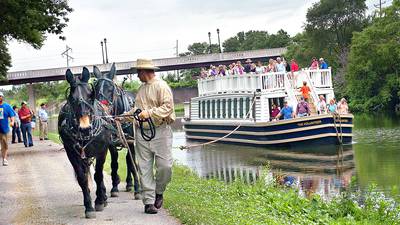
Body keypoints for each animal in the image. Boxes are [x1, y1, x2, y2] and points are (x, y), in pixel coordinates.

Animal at [57, 67, 111, 219]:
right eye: (72, 98)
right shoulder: (71, 152)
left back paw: (102, 197)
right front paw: (89, 206)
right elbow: (82, 178)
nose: (85, 128)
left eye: (90, 96)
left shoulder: (102, 150)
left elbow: (98, 175)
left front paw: (99, 201)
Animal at [92, 63, 141, 199]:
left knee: (129, 161)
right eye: (95, 88)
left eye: (110, 89)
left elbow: (132, 163)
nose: (100, 108)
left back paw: (130, 184)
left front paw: (138, 190)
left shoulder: (131, 142)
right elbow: (114, 163)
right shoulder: (111, 144)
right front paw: (114, 187)